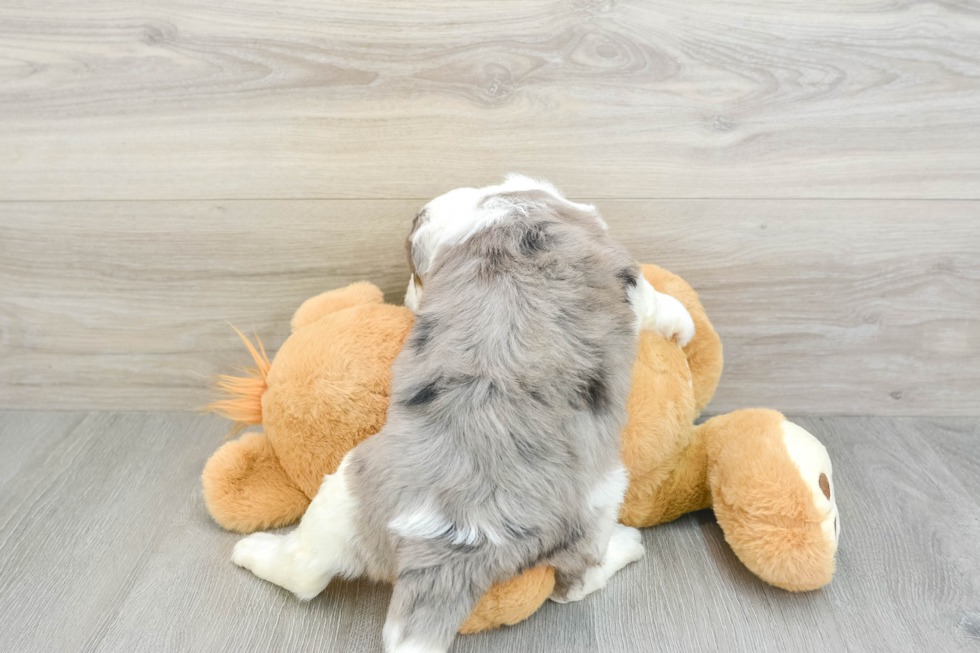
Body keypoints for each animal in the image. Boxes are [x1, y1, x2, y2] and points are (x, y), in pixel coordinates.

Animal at [234, 174, 696, 652]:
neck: (504, 209)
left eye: (417, 273)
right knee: (573, 584)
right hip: (598, 501)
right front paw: (685, 328)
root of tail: (461, 536)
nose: (410, 298)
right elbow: (659, 303)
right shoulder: (627, 275)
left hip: (347, 492)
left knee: (306, 571)